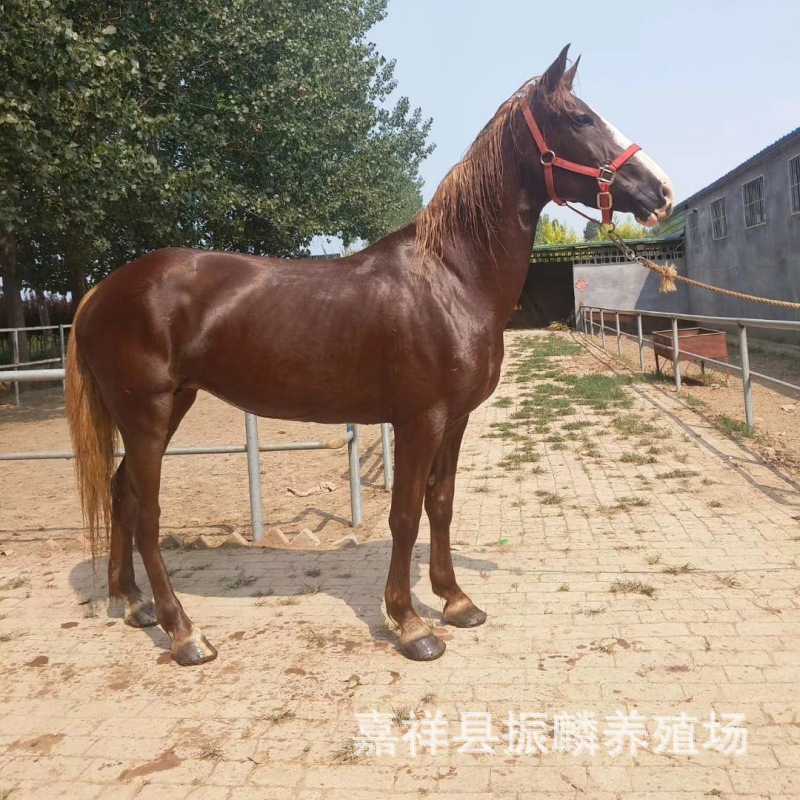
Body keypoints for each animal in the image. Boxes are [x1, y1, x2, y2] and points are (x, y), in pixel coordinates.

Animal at [65, 45, 673, 666]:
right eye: (581, 119)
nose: (662, 192)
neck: (452, 278)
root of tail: (99, 291)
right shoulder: (419, 419)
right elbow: (403, 516)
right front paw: (410, 624)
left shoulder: (455, 420)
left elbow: (440, 504)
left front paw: (457, 601)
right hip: (148, 413)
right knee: (146, 513)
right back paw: (184, 632)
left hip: (166, 408)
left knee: (121, 496)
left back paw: (133, 603)